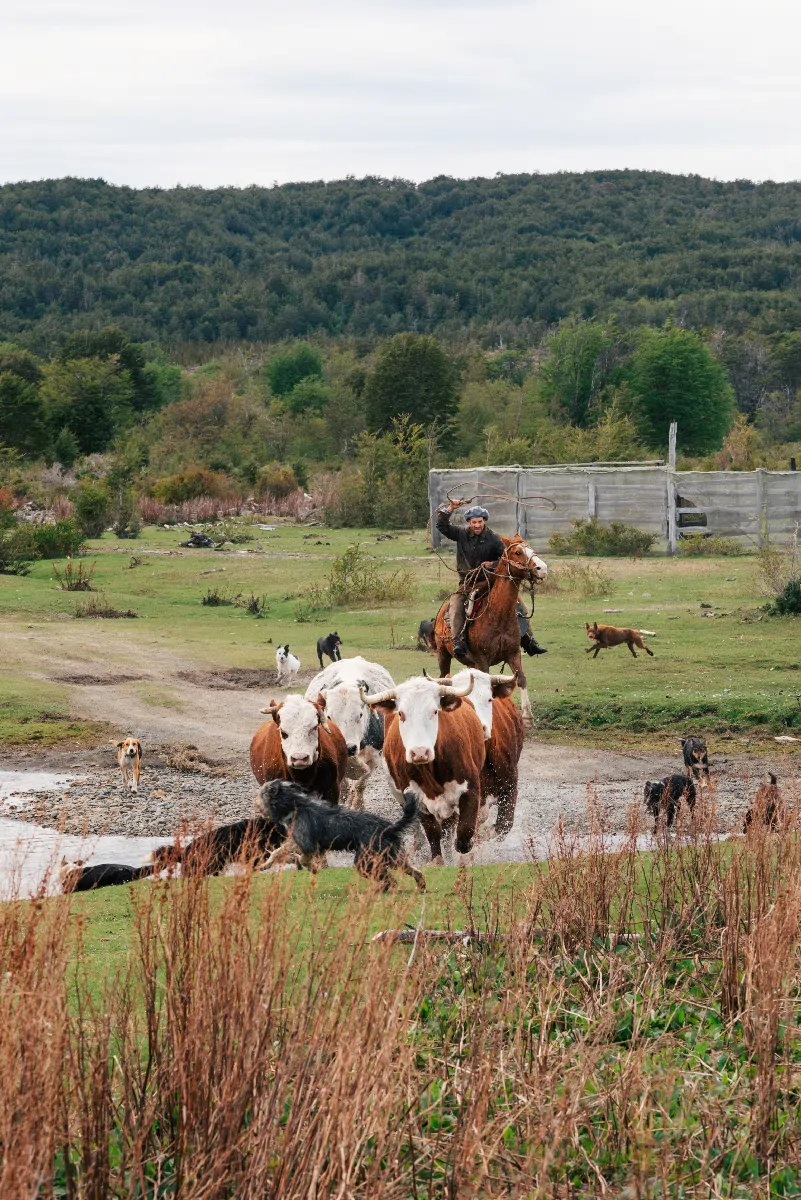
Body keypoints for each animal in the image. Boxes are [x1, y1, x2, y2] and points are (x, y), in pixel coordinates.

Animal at [260, 777, 429, 892]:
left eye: (260, 794)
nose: (257, 804)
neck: (296, 805)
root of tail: (389, 827)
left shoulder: (308, 845)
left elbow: (303, 858)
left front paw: (311, 867)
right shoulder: (295, 841)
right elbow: (278, 852)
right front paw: (266, 864)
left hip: (365, 861)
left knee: (390, 880)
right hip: (390, 856)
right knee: (411, 872)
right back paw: (419, 885)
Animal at [303, 662, 393, 811]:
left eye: (360, 714)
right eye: (329, 716)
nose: (349, 748)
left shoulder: (375, 758)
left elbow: (360, 784)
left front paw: (358, 805)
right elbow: (344, 783)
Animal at [364, 676, 489, 864]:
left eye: (435, 711)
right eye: (401, 713)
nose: (419, 752)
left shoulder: (471, 790)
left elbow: (465, 832)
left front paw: (464, 853)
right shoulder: (416, 798)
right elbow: (433, 831)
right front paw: (437, 859)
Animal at [434, 537, 546, 720]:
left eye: (530, 549)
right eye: (518, 552)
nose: (542, 569)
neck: (497, 615)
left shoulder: (513, 653)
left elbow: (521, 678)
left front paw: (527, 716)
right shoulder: (482, 659)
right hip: (443, 654)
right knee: (443, 677)